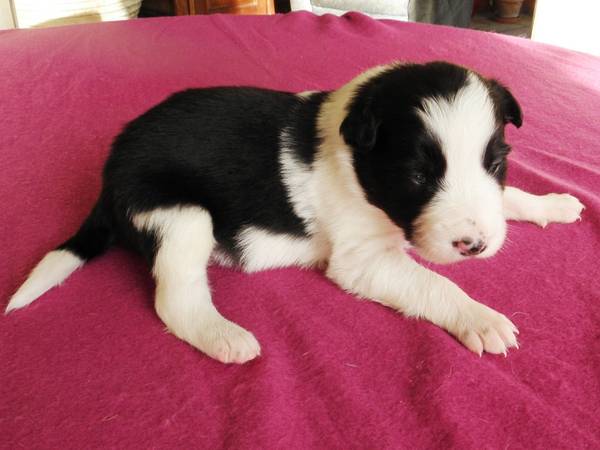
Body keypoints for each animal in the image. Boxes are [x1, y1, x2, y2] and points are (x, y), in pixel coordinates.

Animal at [6, 61, 584, 363]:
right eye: (418, 177)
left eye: (496, 163)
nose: (475, 246)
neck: (355, 157)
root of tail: (108, 175)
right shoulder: (361, 259)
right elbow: (435, 282)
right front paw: (480, 318)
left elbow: (508, 200)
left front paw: (551, 203)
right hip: (182, 215)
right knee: (175, 298)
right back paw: (225, 337)